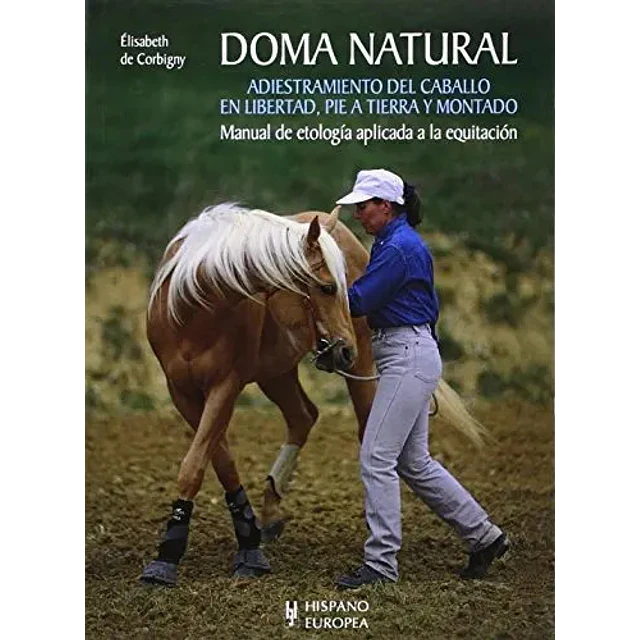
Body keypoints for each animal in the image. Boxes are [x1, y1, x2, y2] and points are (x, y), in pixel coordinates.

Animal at [140, 202, 488, 586]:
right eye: (325, 287)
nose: (345, 349)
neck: (194, 308)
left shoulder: (226, 385)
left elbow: (196, 463)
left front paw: (179, 554)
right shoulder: (182, 393)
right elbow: (217, 461)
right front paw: (238, 541)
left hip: (356, 368)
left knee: (364, 430)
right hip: (276, 373)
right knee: (303, 416)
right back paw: (271, 510)